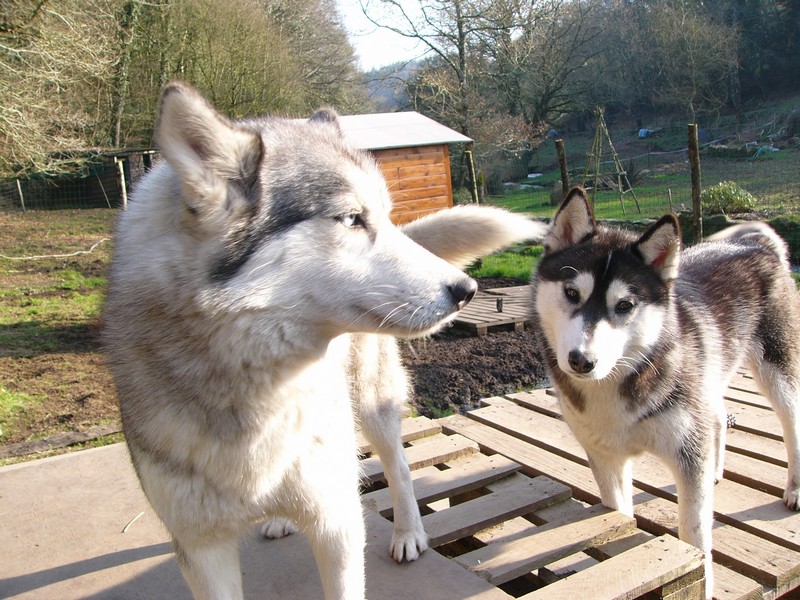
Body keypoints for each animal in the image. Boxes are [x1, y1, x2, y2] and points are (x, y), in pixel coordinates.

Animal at [104, 81, 544, 600]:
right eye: (352, 219)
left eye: (385, 216)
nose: (466, 290)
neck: (256, 393)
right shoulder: (200, 548)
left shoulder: (336, 522)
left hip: (372, 406)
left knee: (398, 466)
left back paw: (408, 533)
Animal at [532, 185, 800, 596]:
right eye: (571, 292)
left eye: (625, 305)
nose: (581, 361)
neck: (620, 380)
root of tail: (753, 243)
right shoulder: (606, 457)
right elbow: (620, 515)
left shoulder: (687, 454)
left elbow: (695, 535)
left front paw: (703, 583)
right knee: (717, 415)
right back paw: (716, 468)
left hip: (776, 370)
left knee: (791, 421)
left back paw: (795, 488)